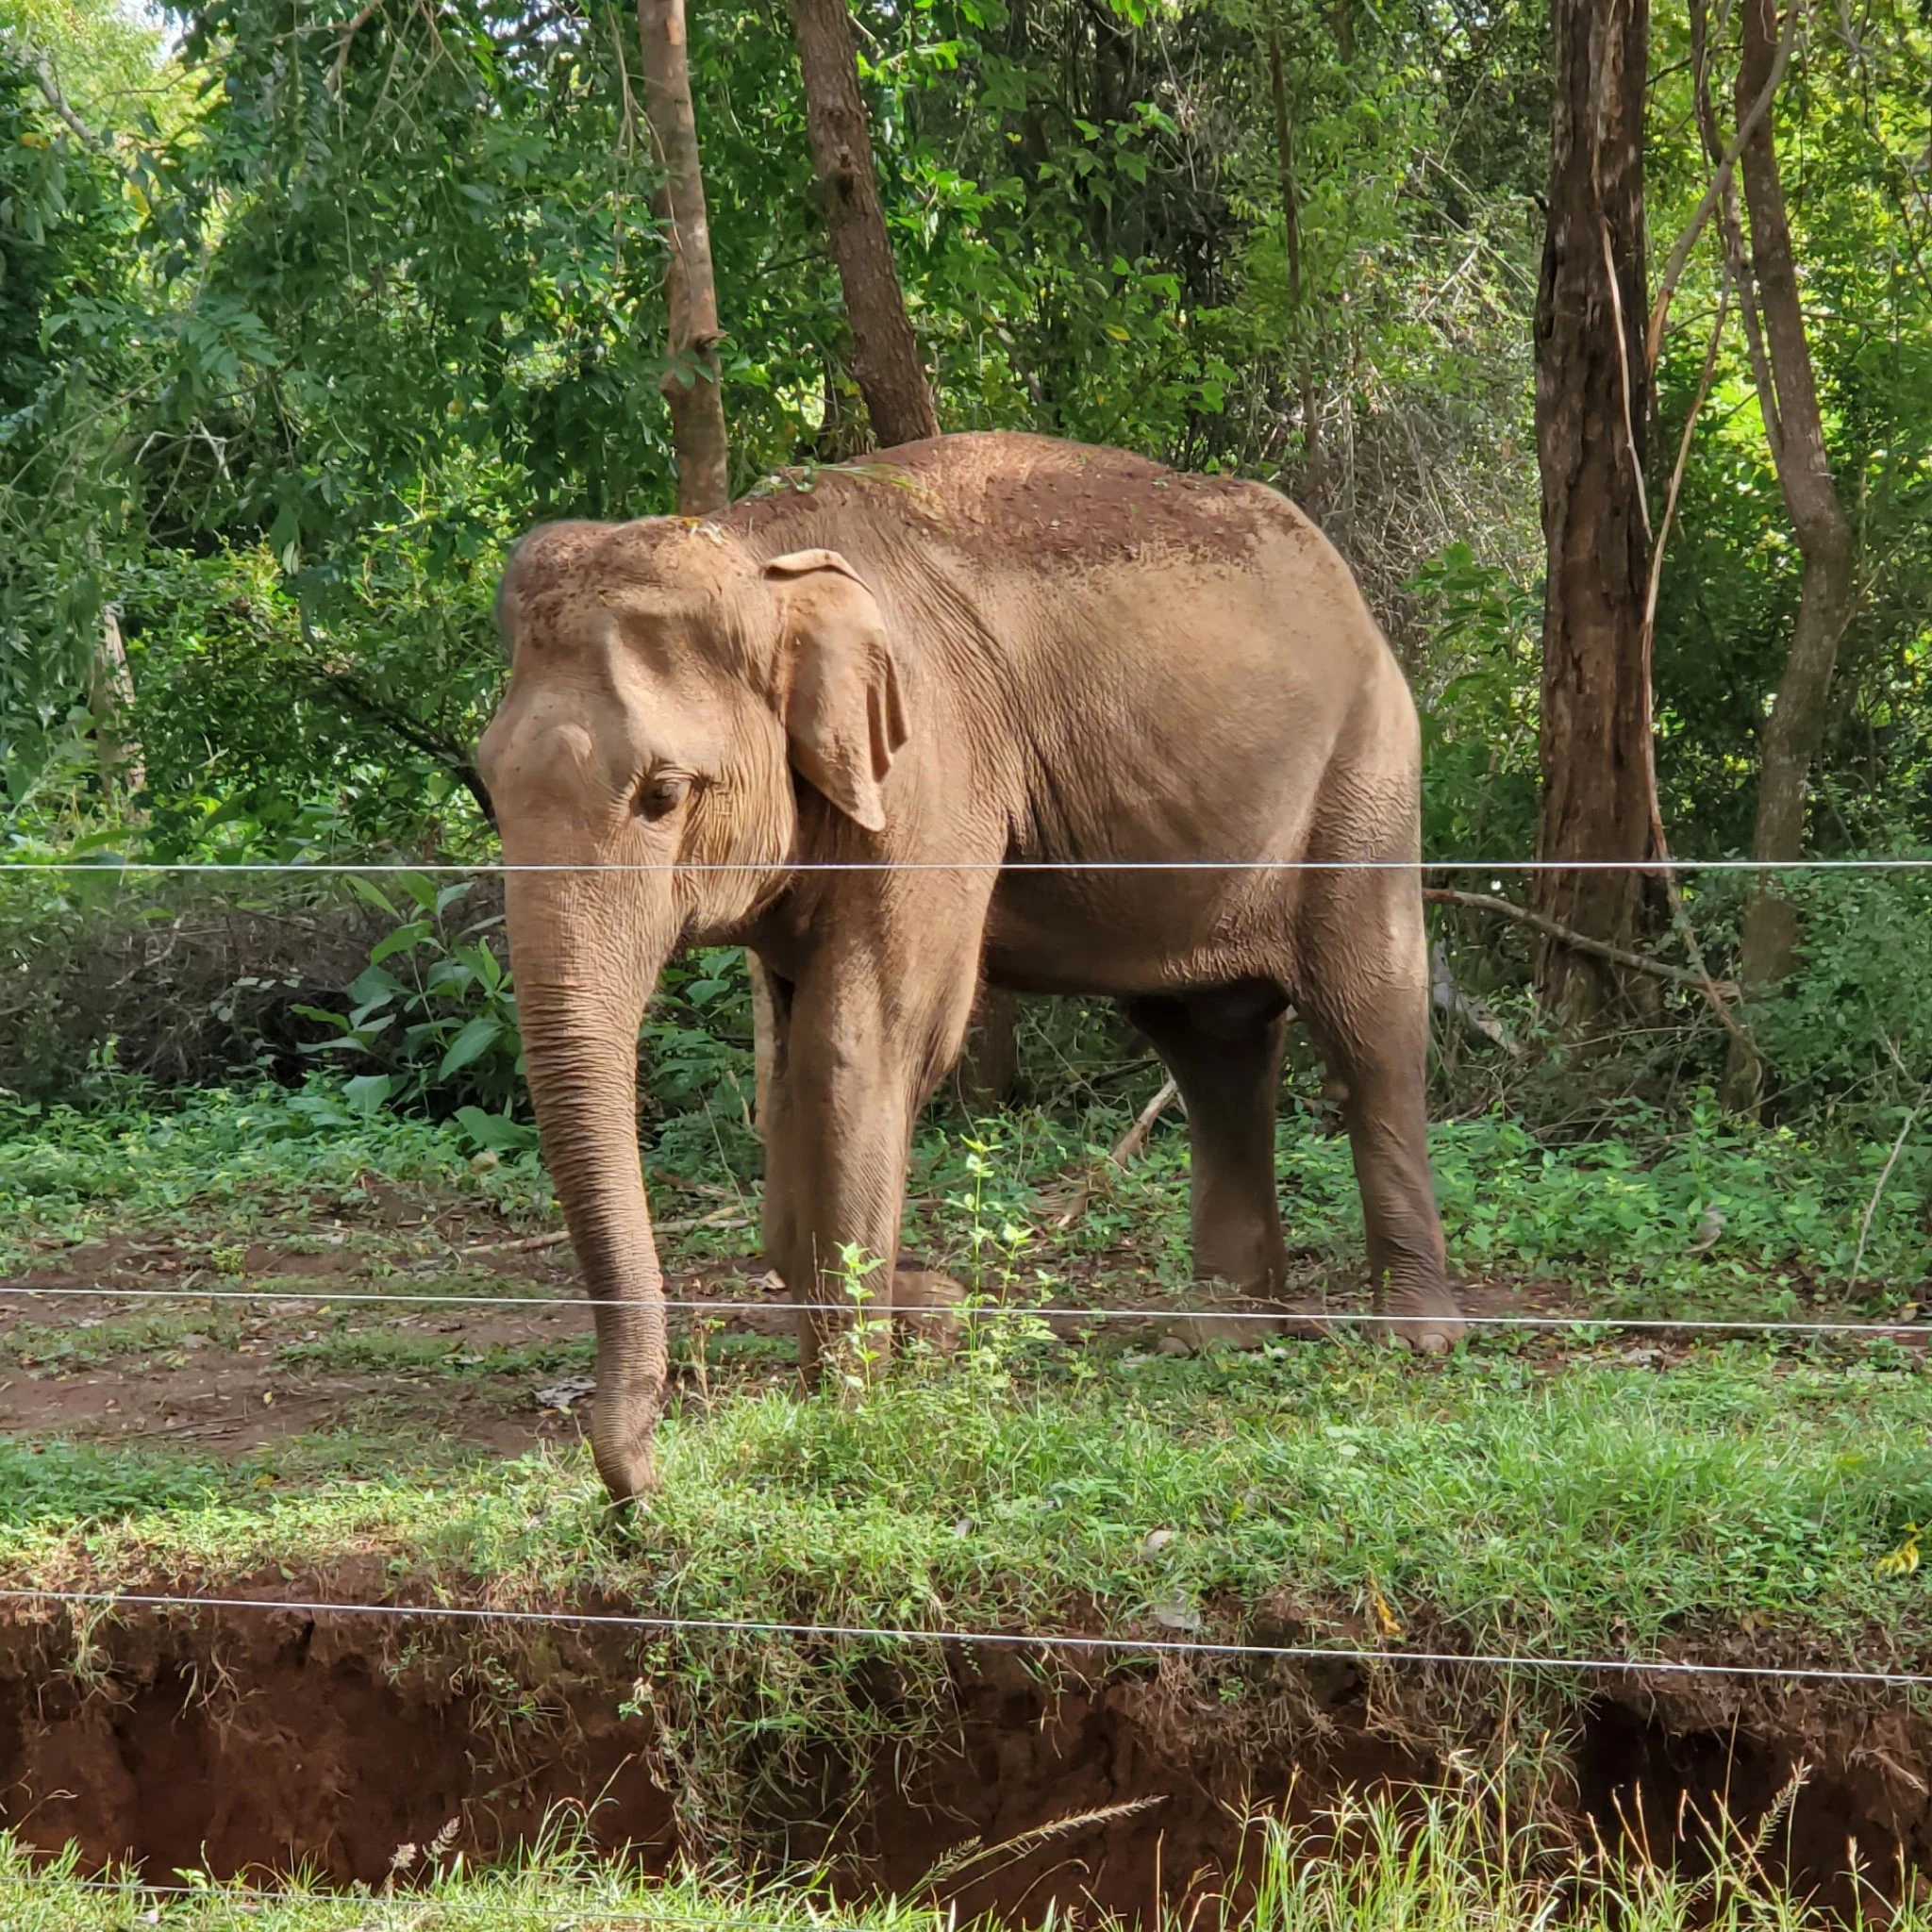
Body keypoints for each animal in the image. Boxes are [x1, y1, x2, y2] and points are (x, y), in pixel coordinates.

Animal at [478, 431, 1465, 1505]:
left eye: (661, 793)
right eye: (486, 790)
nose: (640, 1490)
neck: (757, 552)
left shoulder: (933, 768)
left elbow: (865, 1037)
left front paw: (859, 1397)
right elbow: (790, 1063)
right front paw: (920, 1318)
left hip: (1367, 769)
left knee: (1370, 1017)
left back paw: (1415, 1340)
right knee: (1213, 1041)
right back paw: (1221, 1334)